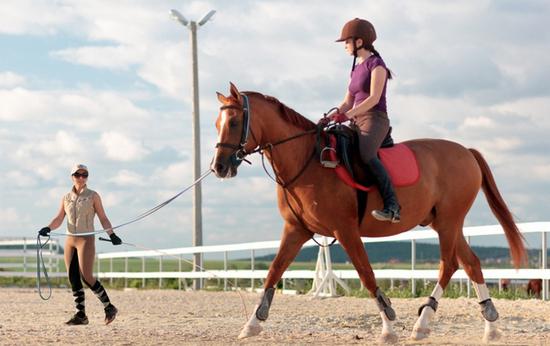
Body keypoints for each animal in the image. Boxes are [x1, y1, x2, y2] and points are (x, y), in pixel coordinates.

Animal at [209, 83, 528, 344]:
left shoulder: (345, 230)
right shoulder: (296, 229)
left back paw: (422, 323)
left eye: (234, 122)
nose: (219, 167)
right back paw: (490, 328)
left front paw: (388, 327)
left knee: (448, 264)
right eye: (216, 123)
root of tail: (466, 151)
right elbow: (274, 271)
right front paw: (252, 324)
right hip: (445, 223)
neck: (306, 160)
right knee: (471, 263)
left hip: (449, 222)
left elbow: (366, 274)